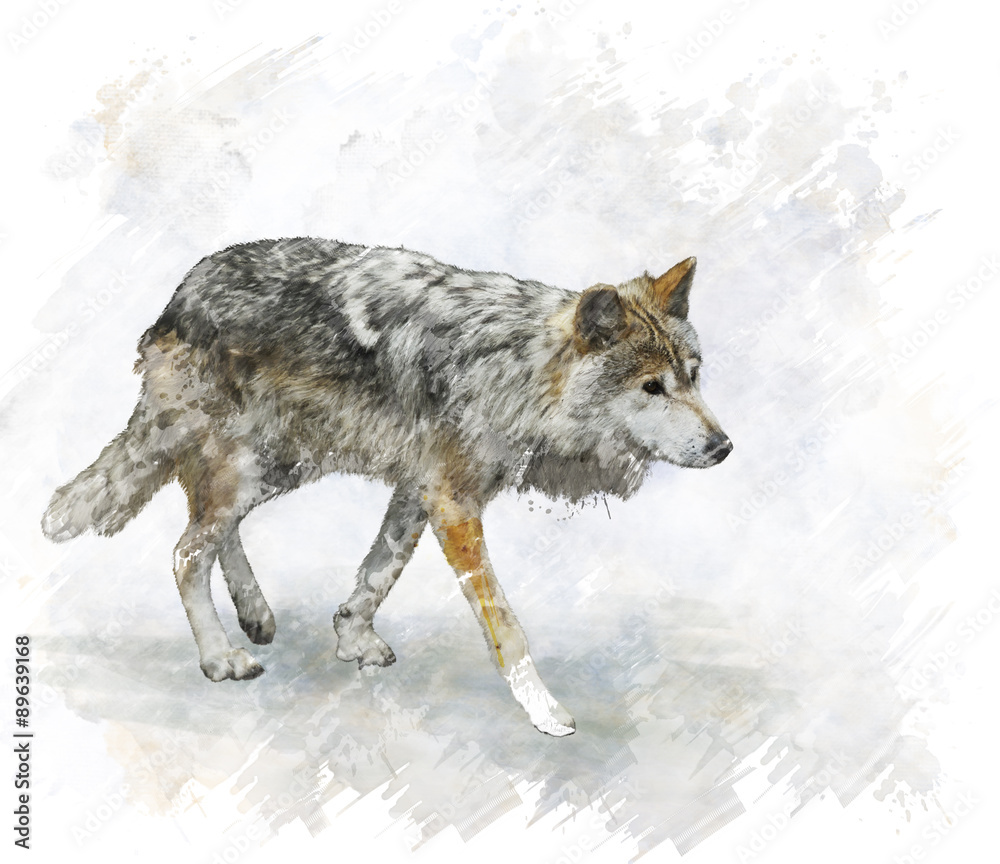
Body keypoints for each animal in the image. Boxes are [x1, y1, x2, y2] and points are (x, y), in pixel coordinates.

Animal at [41, 238, 731, 736]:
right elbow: (507, 628)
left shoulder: (417, 492)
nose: (724, 447)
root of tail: (179, 299)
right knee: (186, 550)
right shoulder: (454, 505)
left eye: (693, 377)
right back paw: (220, 657)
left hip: (276, 468)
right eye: (651, 388)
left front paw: (350, 637)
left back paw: (256, 614)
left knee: (210, 528)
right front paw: (545, 712)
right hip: (255, 469)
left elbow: (380, 572)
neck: (518, 371)